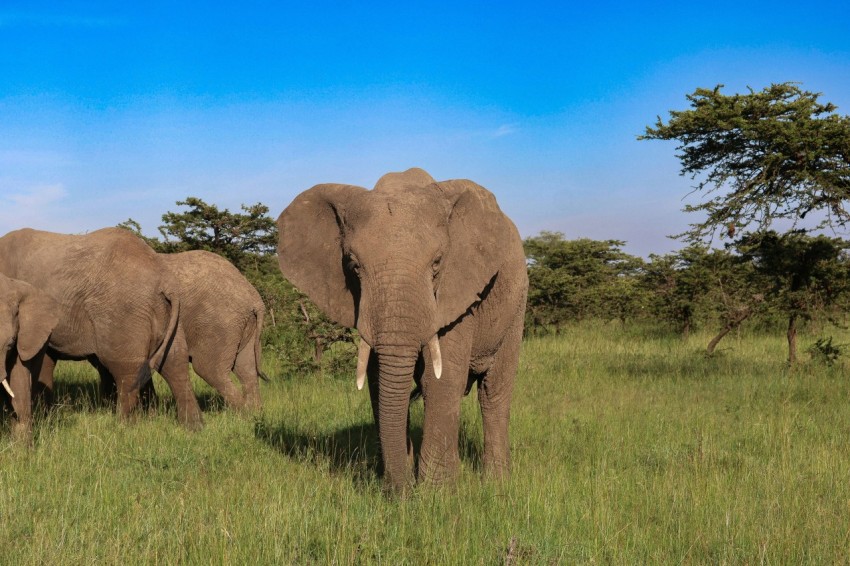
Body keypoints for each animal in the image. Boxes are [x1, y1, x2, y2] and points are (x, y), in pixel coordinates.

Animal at [277, 167, 528, 492]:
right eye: (353, 265)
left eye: (437, 263)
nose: (402, 493)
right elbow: (376, 378)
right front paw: (398, 484)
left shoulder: (458, 291)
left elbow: (441, 379)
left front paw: (437, 493)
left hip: (516, 305)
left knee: (493, 392)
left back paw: (496, 484)